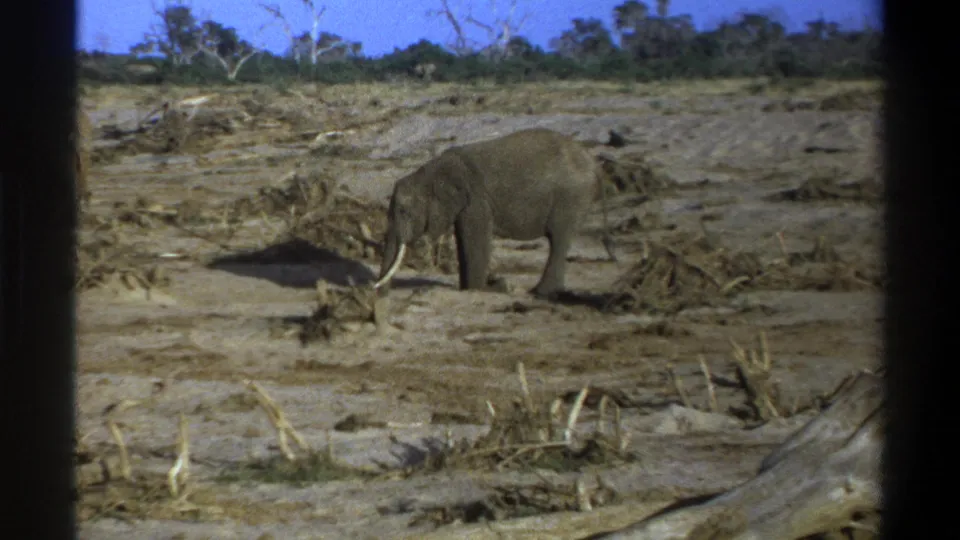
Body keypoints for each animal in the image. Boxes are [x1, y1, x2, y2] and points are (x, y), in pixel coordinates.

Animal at [373, 128, 616, 299]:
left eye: (404, 211)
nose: (380, 293)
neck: (429, 172)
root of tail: (594, 164)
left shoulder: (476, 200)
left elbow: (476, 239)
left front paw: (480, 289)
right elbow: (463, 239)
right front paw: (469, 288)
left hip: (571, 197)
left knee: (558, 238)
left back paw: (539, 293)